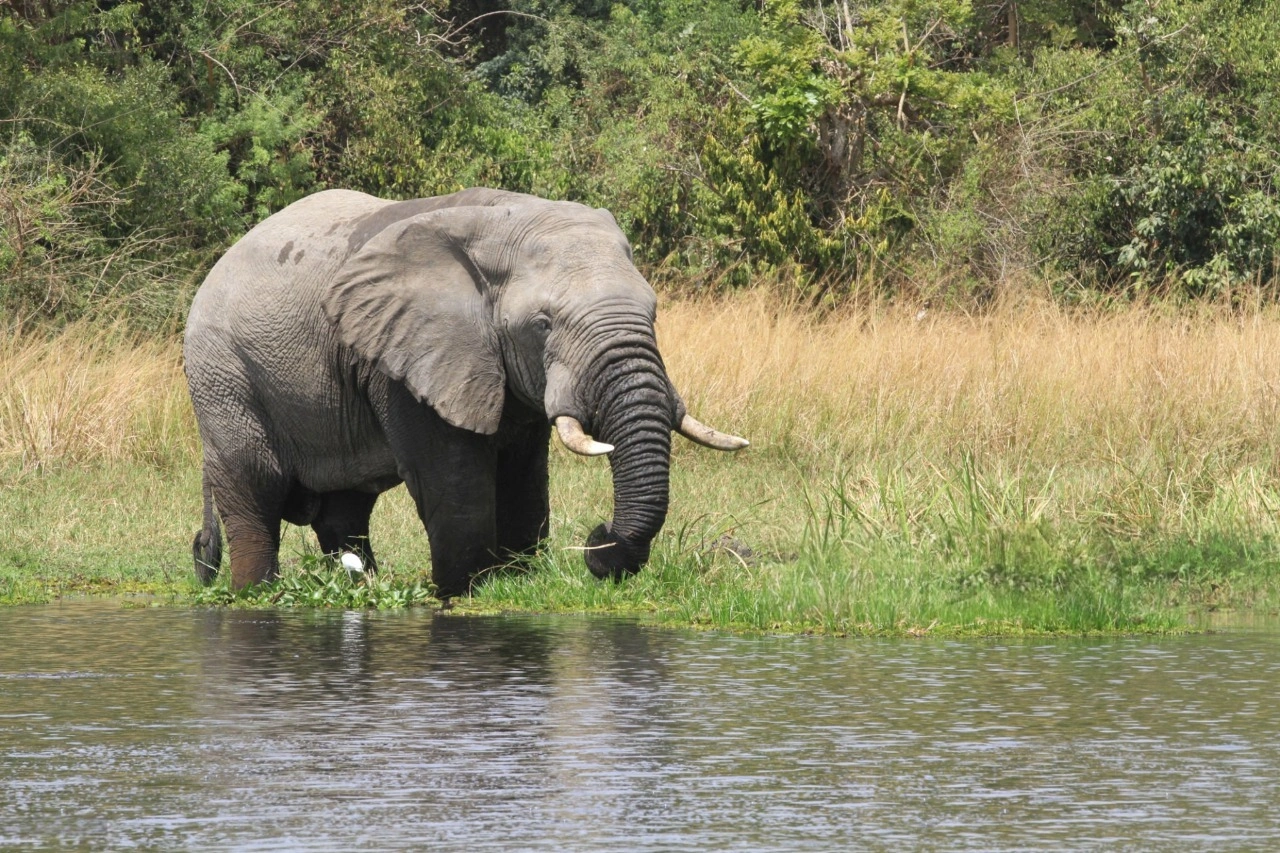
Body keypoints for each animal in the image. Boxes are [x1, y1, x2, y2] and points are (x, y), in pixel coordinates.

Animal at [184, 187, 747, 598]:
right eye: (542, 324)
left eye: (653, 311)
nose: (600, 537)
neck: (503, 219)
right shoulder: (405, 356)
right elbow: (455, 484)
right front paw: (465, 594)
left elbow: (523, 481)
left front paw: (518, 580)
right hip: (223, 375)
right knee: (254, 490)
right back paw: (253, 595)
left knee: (345, 513)